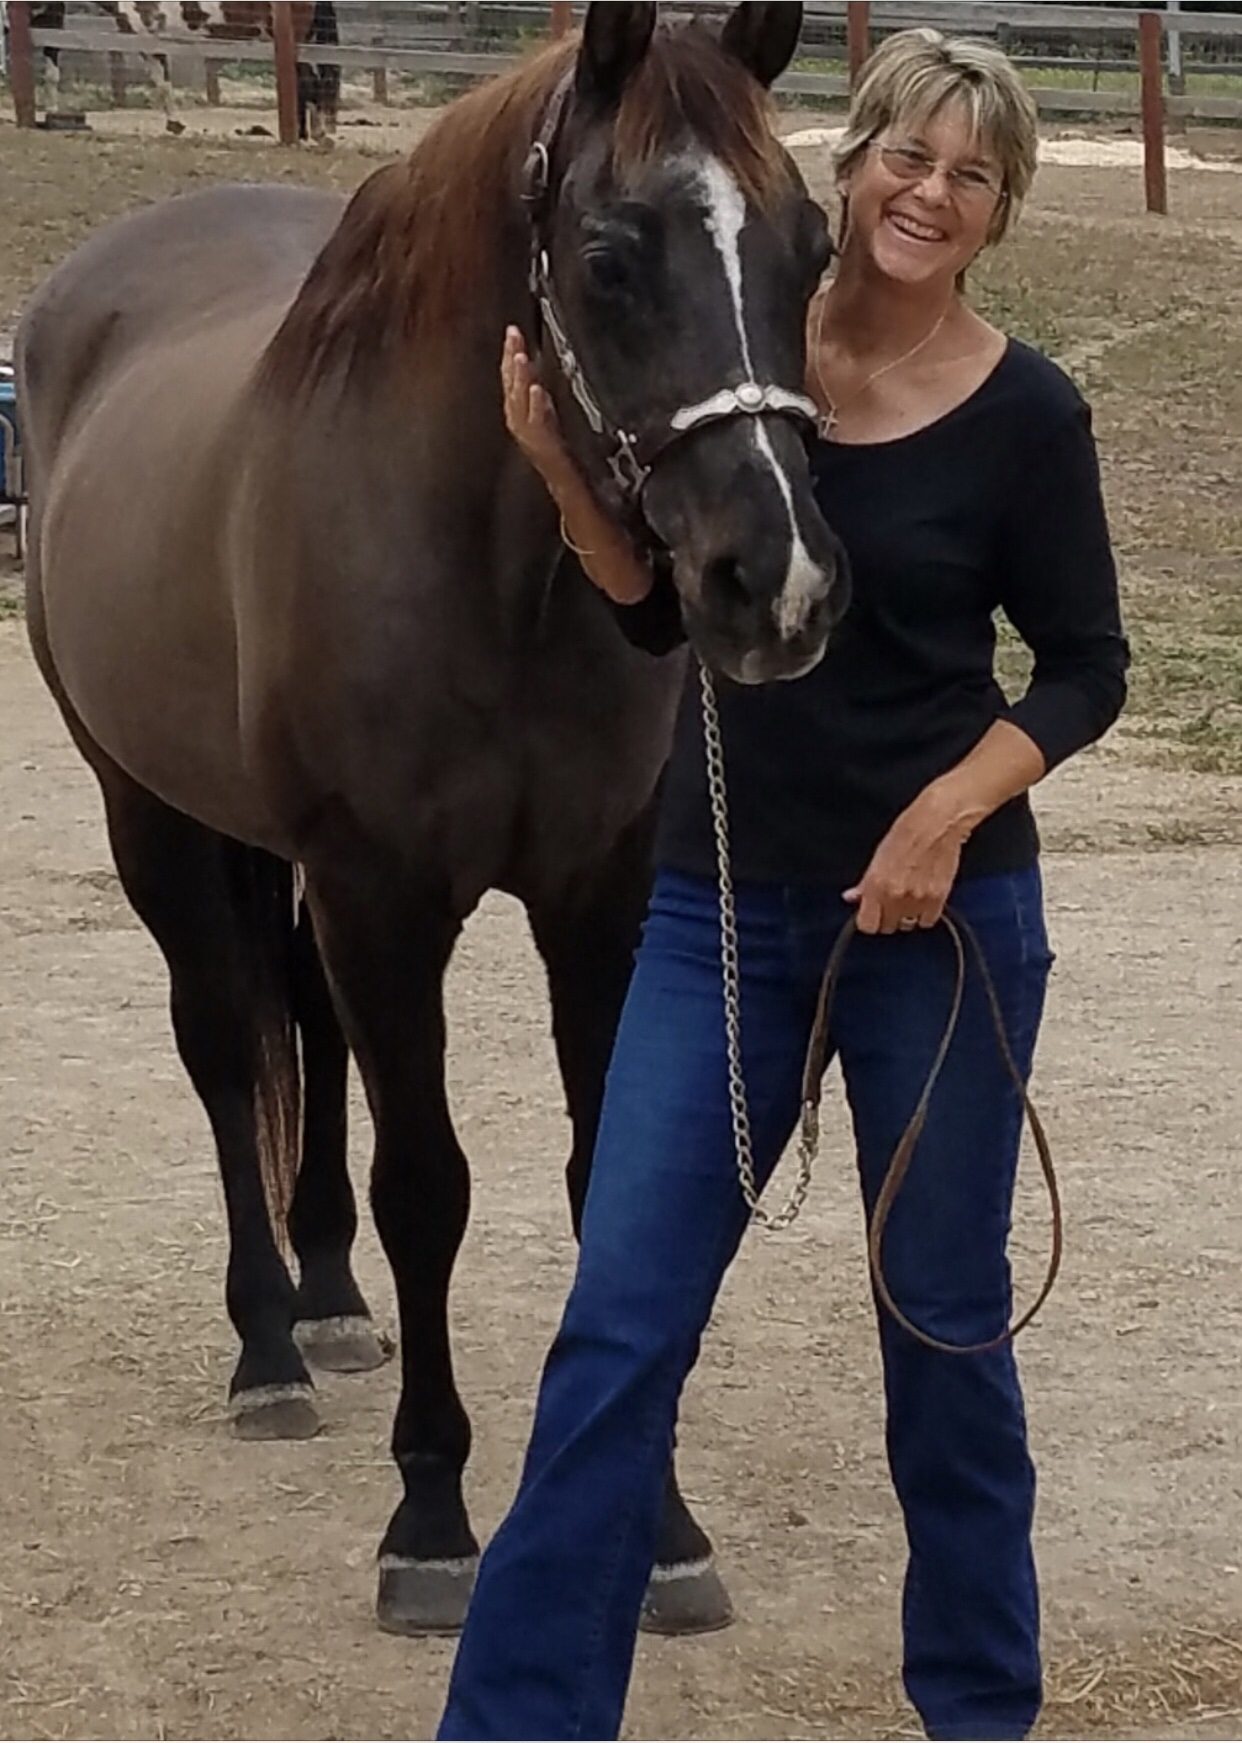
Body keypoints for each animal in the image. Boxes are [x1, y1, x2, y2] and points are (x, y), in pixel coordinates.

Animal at [25, 1, 339, 142]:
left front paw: (174, 124)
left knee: (308, 83)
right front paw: (174, 123)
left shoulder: (148, 42)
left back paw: (310, 133)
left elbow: (162, 82)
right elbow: (162, 82)